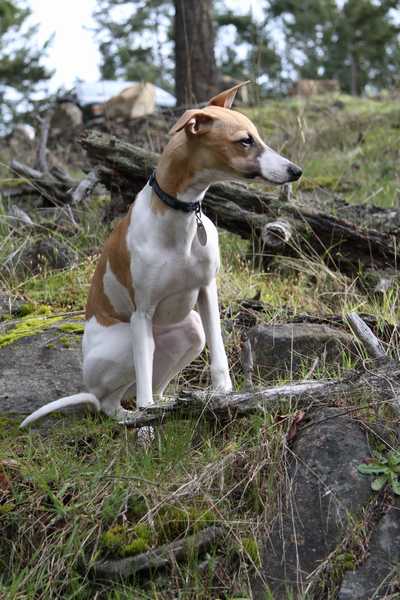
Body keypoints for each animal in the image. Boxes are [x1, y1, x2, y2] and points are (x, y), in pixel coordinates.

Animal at [20, 82, 302, 429]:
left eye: (257, 136)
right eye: (244, 141)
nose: (296, 171)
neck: (180, 216)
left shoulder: (206, 292)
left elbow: (219, 354)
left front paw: (224, 395)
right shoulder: (142, 313)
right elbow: (143, 386)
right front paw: (147, 419)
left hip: (190, 329)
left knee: (155, 384)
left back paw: (172, 404)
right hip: (126, 341)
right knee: (115, 400)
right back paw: (132, 415)